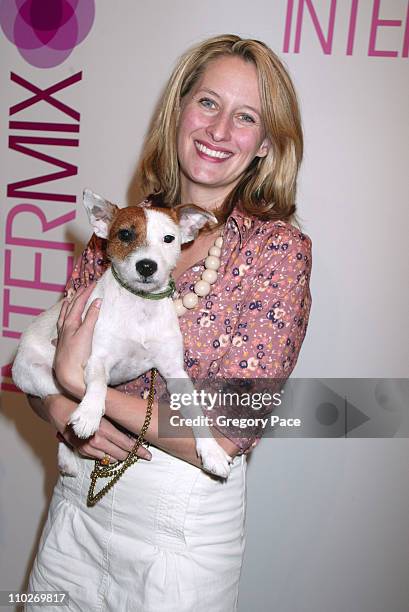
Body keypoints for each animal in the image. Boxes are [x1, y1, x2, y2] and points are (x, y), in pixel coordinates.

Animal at [12, 190, 233, 478]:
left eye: (169, 238)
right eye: (125, 234)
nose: (147, 266)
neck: (139, 306)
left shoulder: (175, 372)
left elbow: (196, 410)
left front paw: (211, 451)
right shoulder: (97, 359)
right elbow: (97, 384)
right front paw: (89, 414)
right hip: (43, 379)